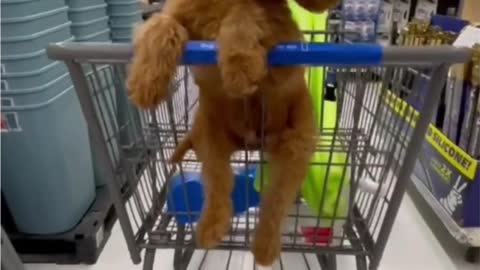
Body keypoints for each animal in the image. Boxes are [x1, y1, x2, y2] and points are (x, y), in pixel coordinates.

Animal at [127, 0, 338, 266]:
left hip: (295, 147)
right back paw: (211, 225)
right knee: (219, 183)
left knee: (276, 201)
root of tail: (250, 142)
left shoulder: (283, 40)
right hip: (210, 139)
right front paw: (146, 80)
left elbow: (243, 14)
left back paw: (265, 244)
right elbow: (160, 24)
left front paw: (240, 66)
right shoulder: (177, 15)